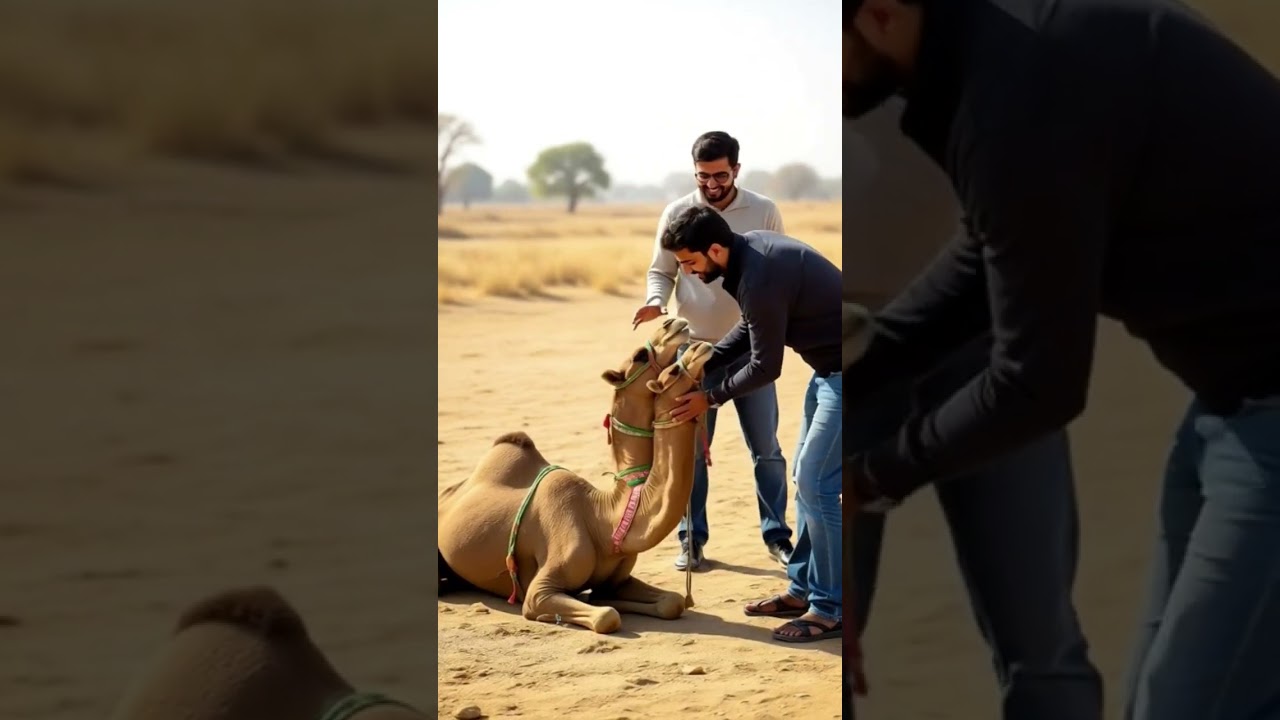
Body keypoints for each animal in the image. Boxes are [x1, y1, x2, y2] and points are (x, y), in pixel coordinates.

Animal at [436, 331, 713, 634]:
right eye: (673, 370)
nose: (700, 345)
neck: (603, 520)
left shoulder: (617, 580)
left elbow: (671, 601)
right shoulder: (540, 589)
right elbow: (606, 616)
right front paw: (554, 615)